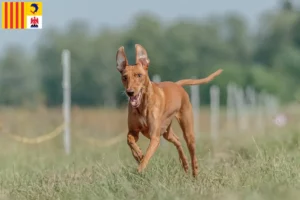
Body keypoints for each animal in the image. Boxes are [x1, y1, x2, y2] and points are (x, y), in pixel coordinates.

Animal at [116, 44, 221, 177]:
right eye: (124, 77)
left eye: (139, 75)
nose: (130, 92)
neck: (142, 106)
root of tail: (177, 85)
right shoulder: (133, 131)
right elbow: (129, 140)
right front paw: (138, 154)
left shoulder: (155, 137)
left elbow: (147, 156)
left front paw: (140, 168)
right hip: (166, 132)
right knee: (177, 141)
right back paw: (184, 163)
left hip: (187, 131)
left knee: (192, 152)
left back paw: (195, 172)